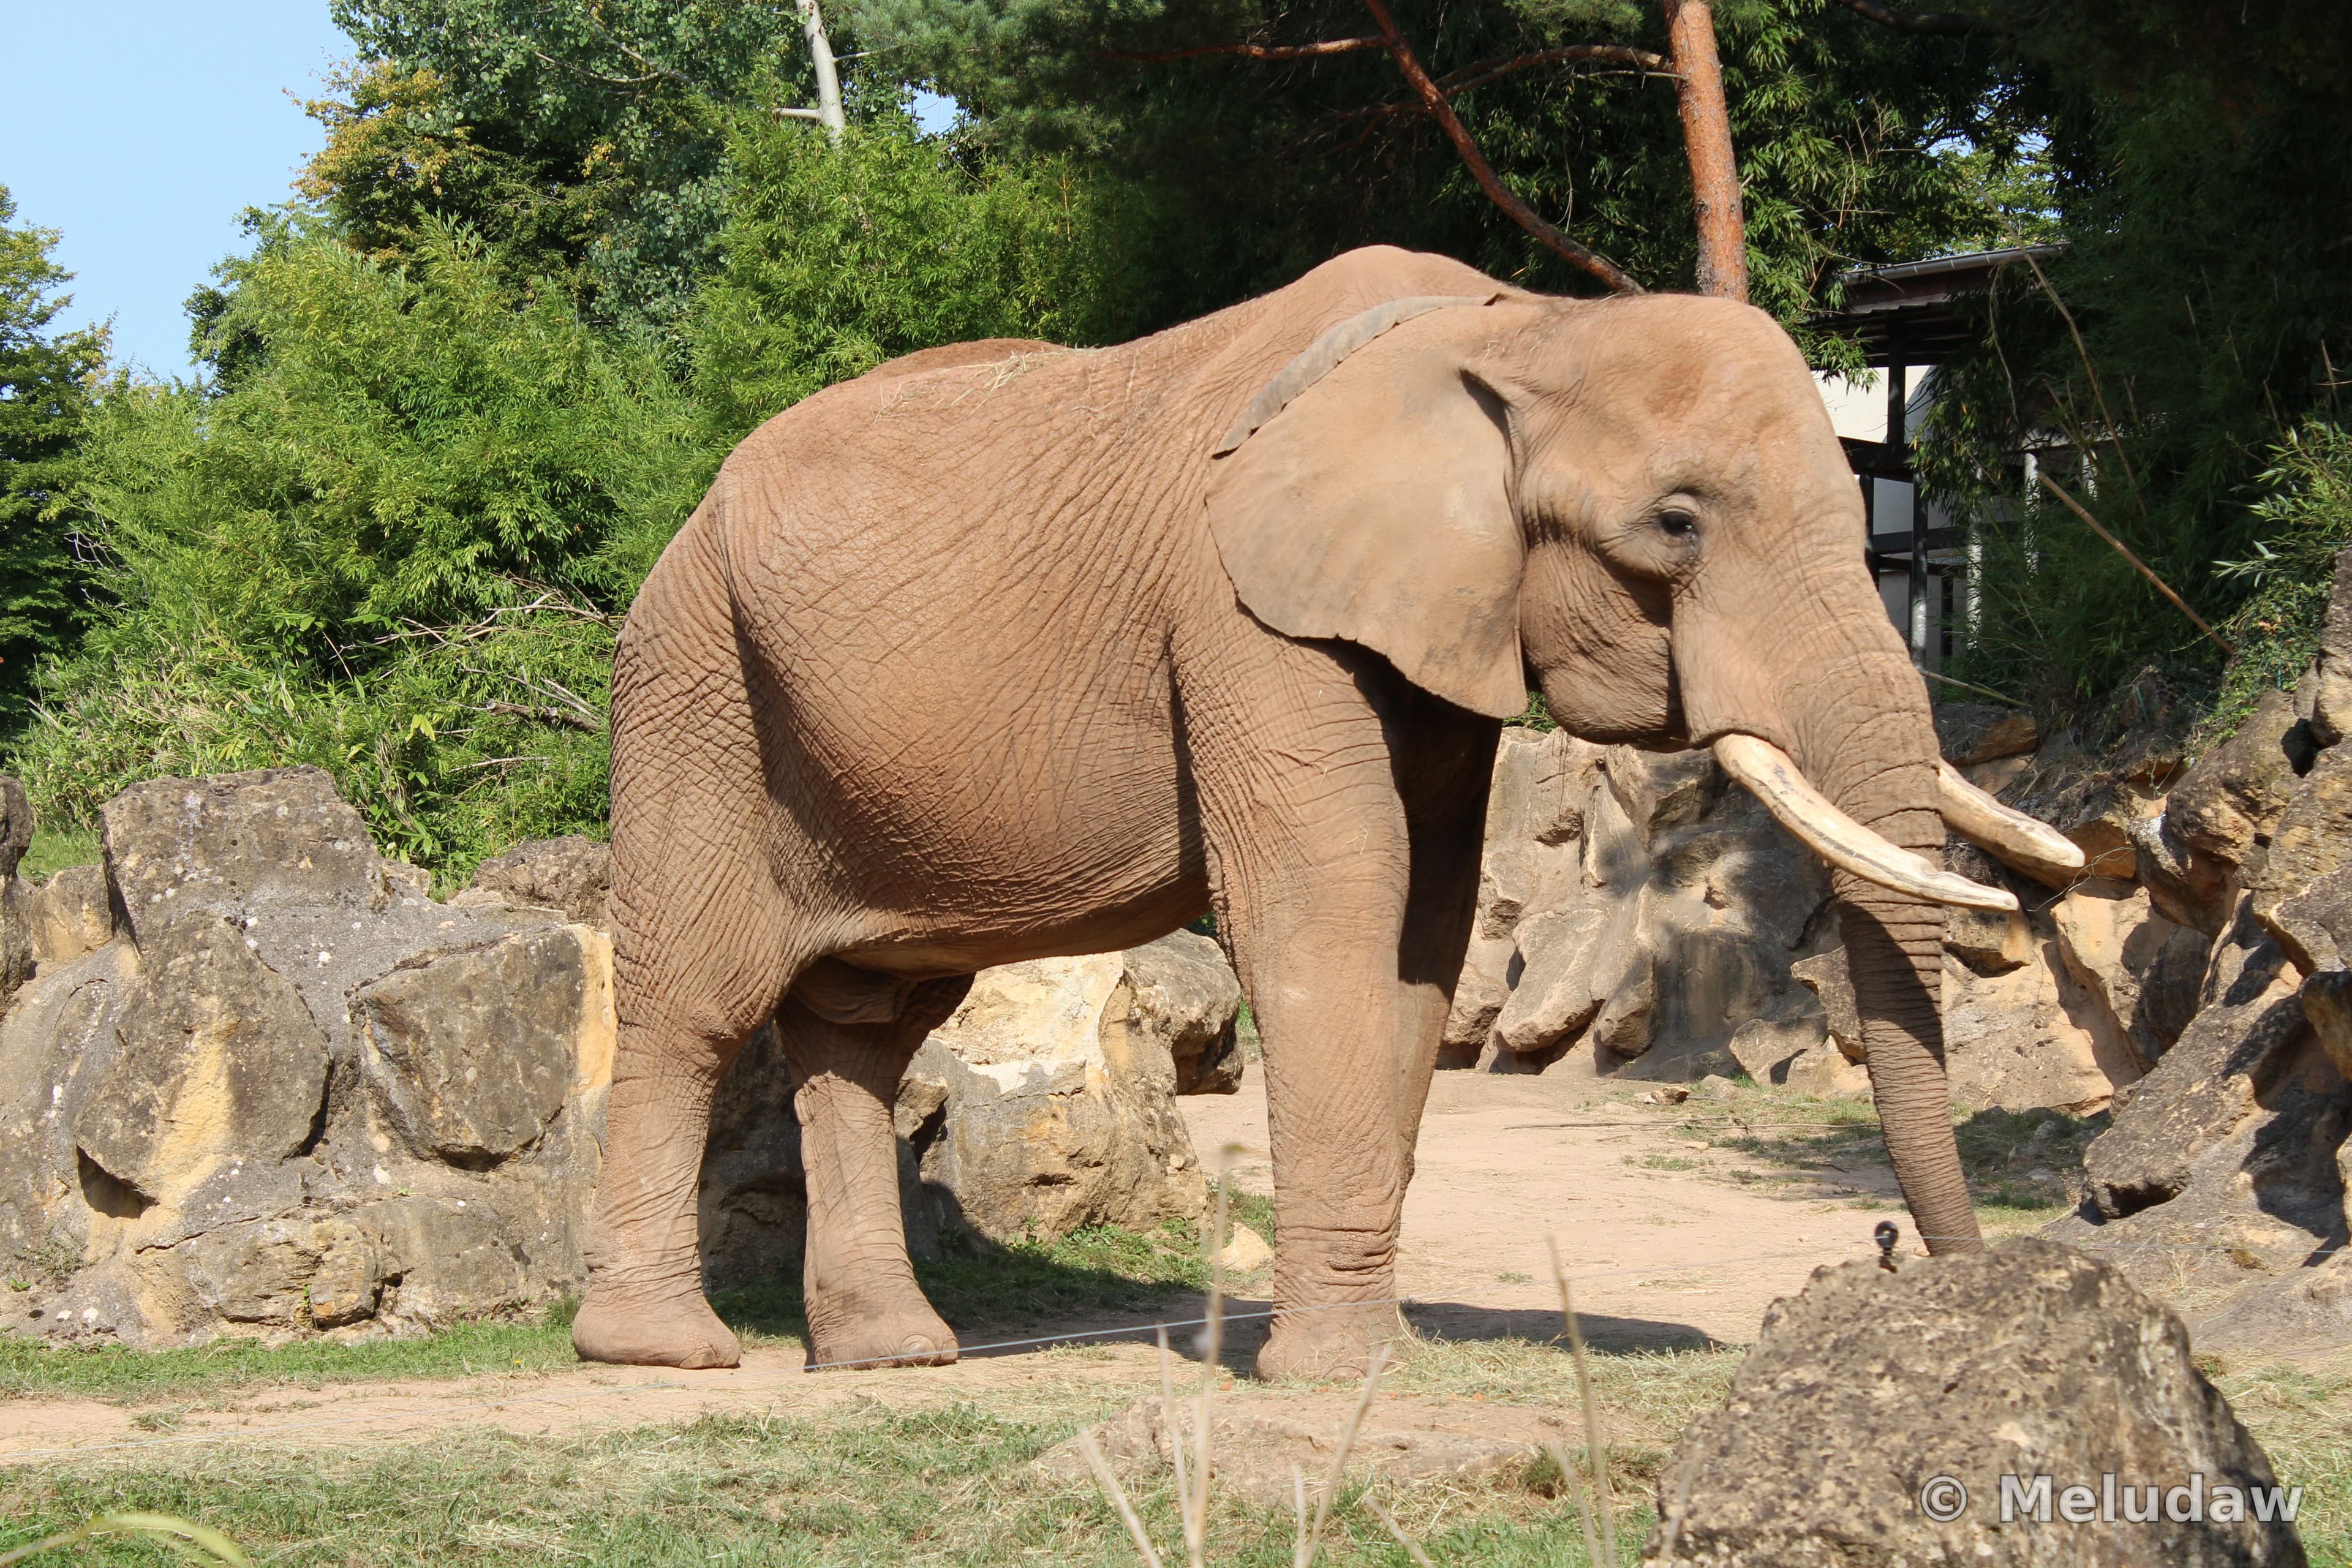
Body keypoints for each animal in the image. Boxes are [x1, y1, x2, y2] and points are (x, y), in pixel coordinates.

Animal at [570, 244, 2078, 1378]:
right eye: (1678, 524)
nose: (1940, 1281)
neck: (1521, 325)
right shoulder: (1240, 610)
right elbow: (1326, 909)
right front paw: (1337, 1375)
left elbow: (1419, 933)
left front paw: (1365, 1355)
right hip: (692, 685)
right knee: (699, 999)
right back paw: (669, 1353)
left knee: (870, 1021)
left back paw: (893, 1355)